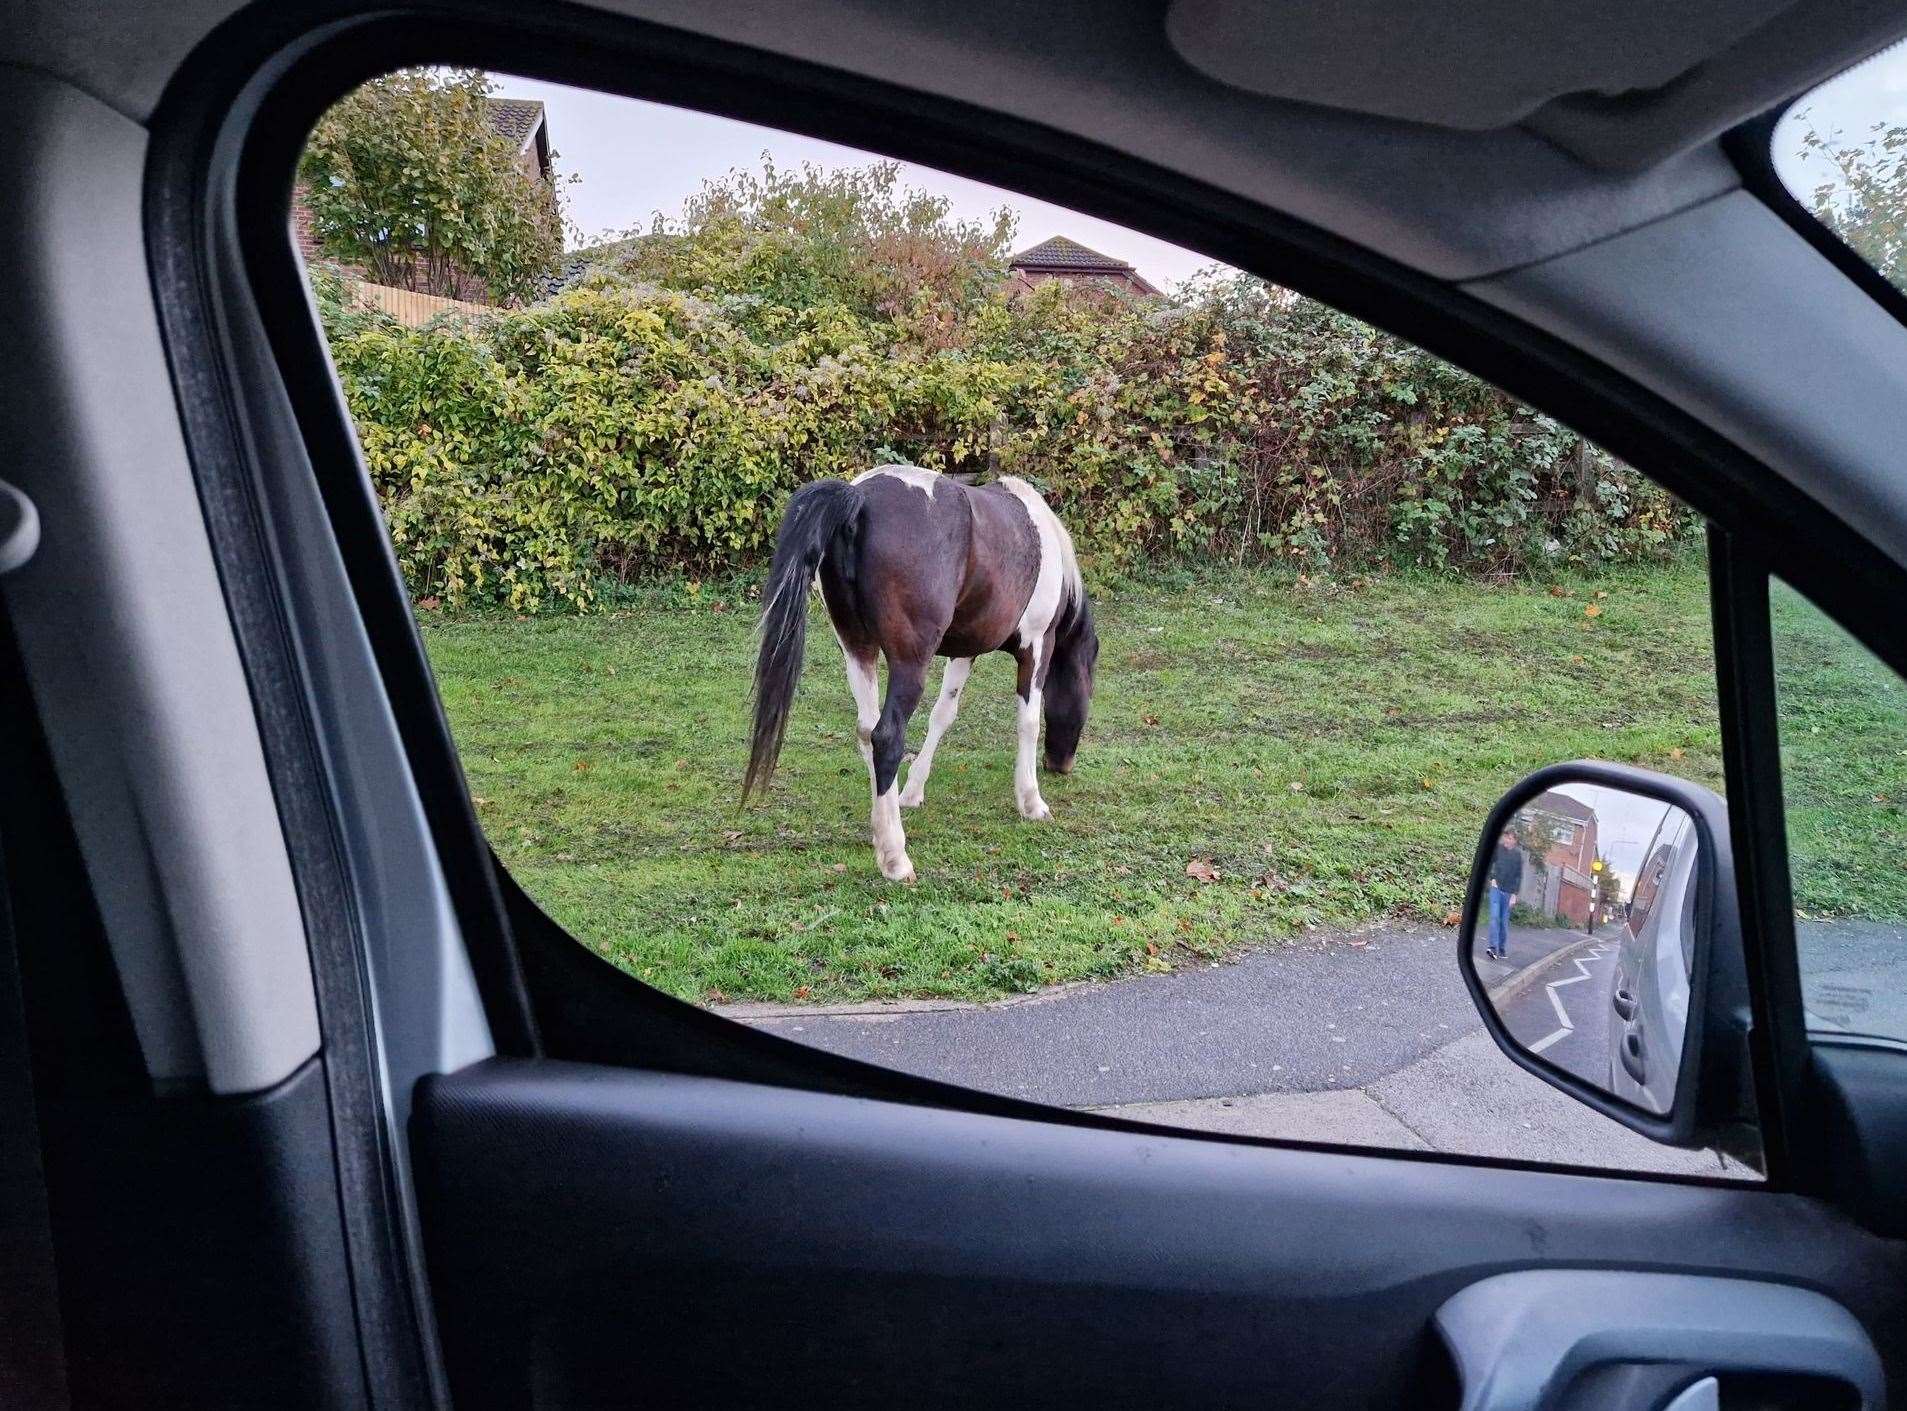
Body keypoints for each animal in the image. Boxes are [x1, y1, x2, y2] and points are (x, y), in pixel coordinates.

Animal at [747, 463, 1106, 880]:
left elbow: (943, 715)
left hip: (857, 650)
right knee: (886, 737)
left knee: (866, 733)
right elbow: (1028, 722)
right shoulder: (1036, 645)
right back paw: (895, 857)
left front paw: (913, 791)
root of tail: (860, 500)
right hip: (909, 662)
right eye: (1087, 690)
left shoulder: (965, 652)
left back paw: (881, 828)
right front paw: (1031, 802)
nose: (1060, 765)